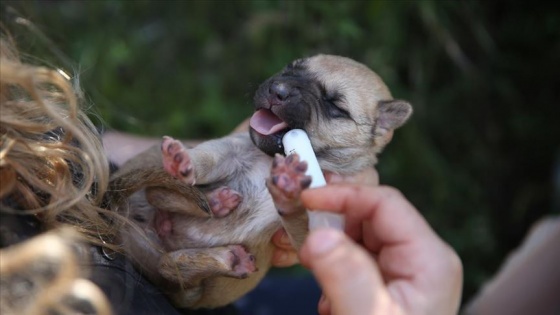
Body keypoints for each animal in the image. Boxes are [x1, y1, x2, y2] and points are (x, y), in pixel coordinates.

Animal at [109, 53, 414, 308]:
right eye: (292, 67)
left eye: (335, 105)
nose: (278, 90)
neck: (269, 160)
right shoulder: (231, 148)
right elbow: (207, 157)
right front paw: (183, 161)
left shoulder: (320, 233)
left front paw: (289, 191)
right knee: (159, 197)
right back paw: (210, 200)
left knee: (168, 263)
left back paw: (226, 251)